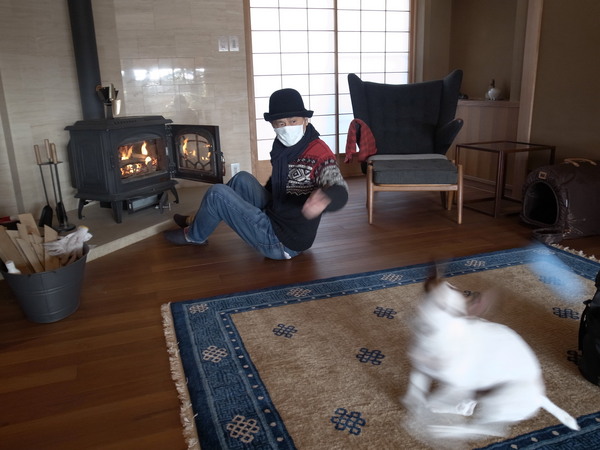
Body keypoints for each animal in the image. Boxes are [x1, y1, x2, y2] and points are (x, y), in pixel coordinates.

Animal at [402, 275, 580, 440]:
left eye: (454, 312)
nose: (424, 329)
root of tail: (539, 397)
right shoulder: (421, 369)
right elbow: (416, 389)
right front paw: (414, 402)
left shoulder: (457, 385)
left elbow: (433, 398)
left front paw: (424, 410)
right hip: (483, 394)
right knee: (468, 410)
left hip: (496, 401)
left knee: (487, 429)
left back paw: (446, 430)